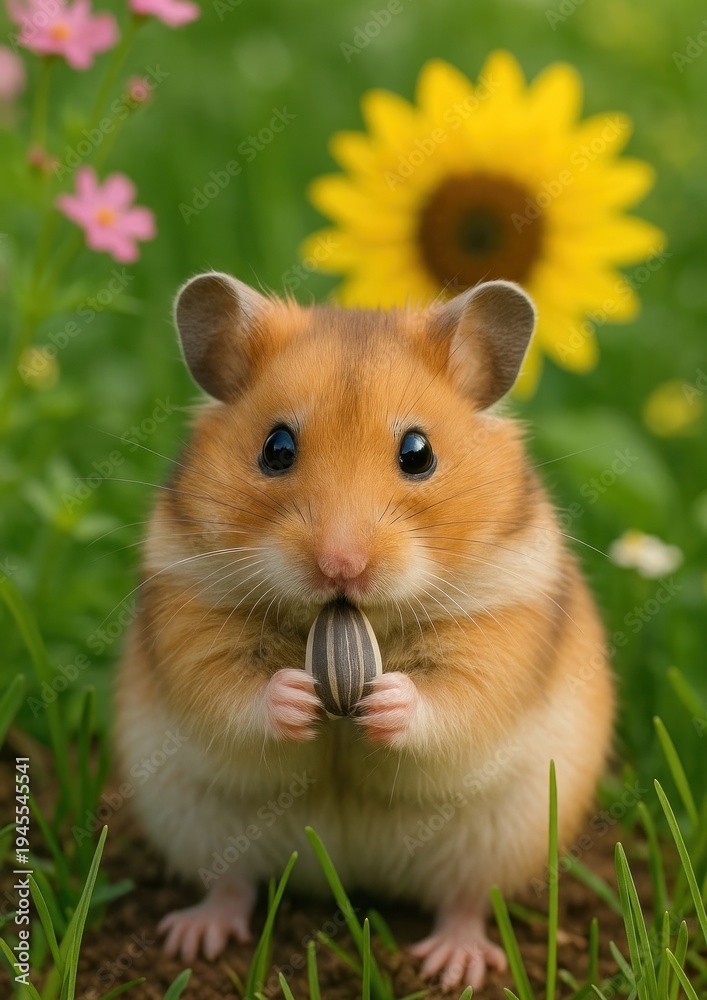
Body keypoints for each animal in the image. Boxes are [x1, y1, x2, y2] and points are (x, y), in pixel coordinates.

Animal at [114, 272, 614, 991]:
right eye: (276, 448)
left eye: (418, 453)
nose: (340, 565)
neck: (350, 619)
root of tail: (349, 877)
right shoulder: (190, 612)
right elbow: (231, 690)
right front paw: (297, 696)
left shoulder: (499, 631)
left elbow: (453, 701)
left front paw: (384, 701)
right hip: (199, 820)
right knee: (233, 882)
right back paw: (194, 939)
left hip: (501, 834)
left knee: (465, 899)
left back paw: (453, 965)